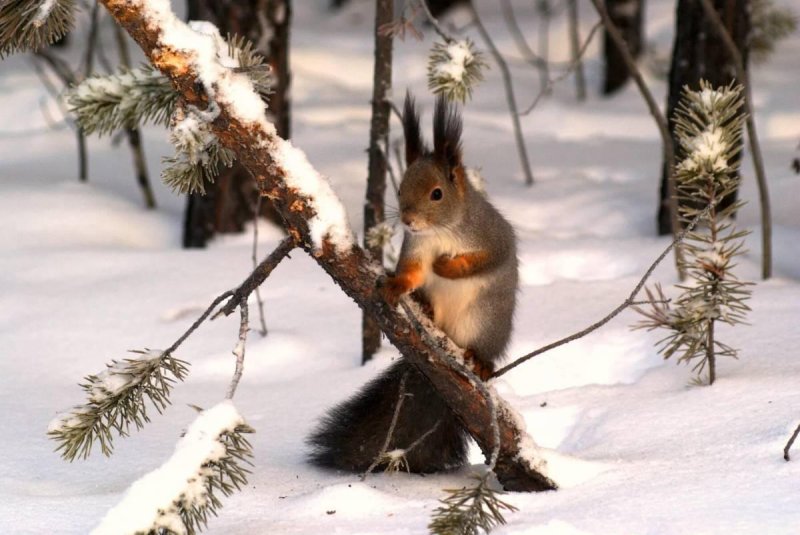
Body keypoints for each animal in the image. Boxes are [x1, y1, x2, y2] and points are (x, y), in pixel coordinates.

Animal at [306, 94, 520, 476]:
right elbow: (413, 272)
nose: (407, 219)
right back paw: (427, 307)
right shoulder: (415, 248)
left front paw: (447, 265)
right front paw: (396, 286)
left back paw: (481, 362)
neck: (440, 232)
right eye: (401, 187)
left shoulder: (494, 237)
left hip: (487, 321)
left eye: (437, 193)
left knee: (485, 352)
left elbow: (484, 260)